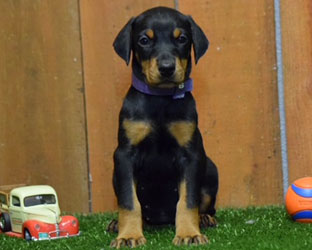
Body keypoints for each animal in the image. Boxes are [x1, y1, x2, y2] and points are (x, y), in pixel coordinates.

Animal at [108, 5, 218, 248]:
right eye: (144, 40)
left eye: (182, 39)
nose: (167, 68)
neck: (161, 99)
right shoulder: (125, 155)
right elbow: (129, 201)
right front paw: (129, 235)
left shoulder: (190, 154)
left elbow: (188, 200)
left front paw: (189, 233)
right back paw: (118, 224)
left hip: (211, 168)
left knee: (205, 202)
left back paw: (204, 218)